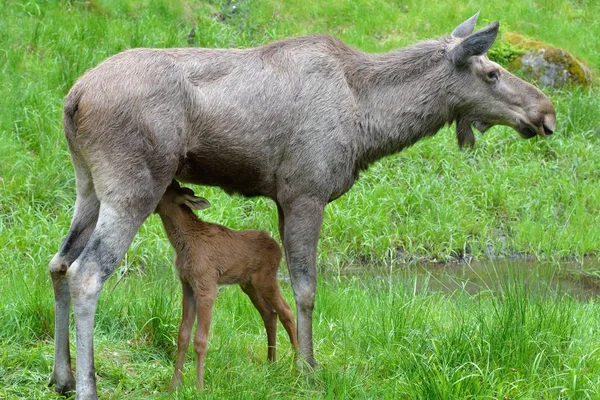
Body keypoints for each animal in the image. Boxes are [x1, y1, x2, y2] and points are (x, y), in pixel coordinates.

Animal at [156, 180, 298, 388]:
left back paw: (298, 365)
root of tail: (278, 248)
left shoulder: (207, 285)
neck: (182, 243)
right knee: (270, 314)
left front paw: (199, 387)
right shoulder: (187, 286)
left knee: (287, 312)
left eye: (166, 189)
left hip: (266, 280)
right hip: (249, 285)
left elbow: (200, 340)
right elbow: (182, 336)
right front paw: (174, 386)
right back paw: (271, 362)